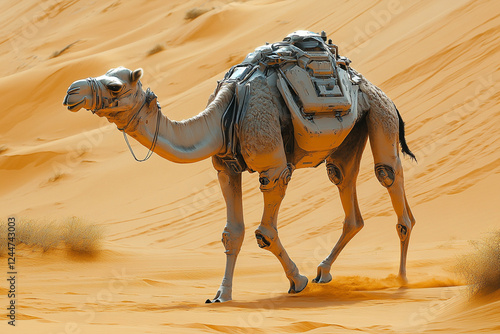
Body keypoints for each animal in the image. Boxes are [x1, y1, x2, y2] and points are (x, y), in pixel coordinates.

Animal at [66, 31, 418, 302]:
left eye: (114, 86)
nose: (72, 91)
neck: (226, 110)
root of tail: (375, 88)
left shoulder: (273, 168)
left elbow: (264, 233)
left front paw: (297, 281)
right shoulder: (226, 168)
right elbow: (231, 233)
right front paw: (221, 295)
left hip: (380, 115)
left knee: (389, 177)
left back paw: (401, 279)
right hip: (348, 140)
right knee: (346, 192)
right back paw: (324, 271)